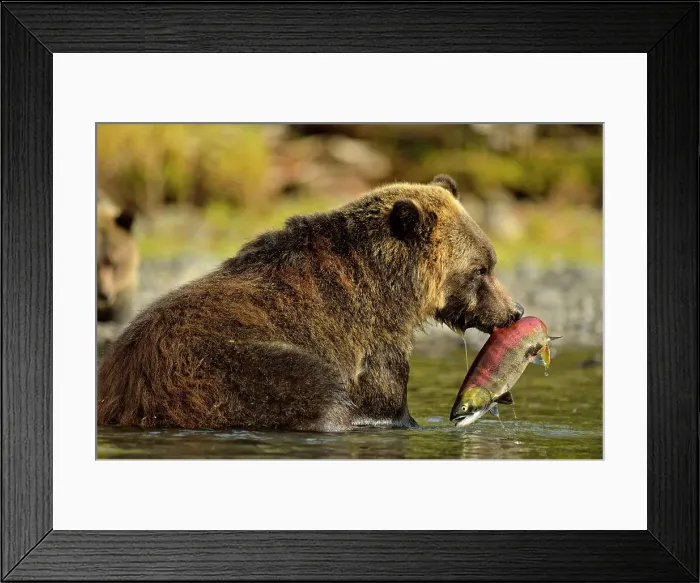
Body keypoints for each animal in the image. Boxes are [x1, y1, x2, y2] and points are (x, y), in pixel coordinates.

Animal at [97, 175, 523, 431]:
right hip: (219, 368)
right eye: (481, 269)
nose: (514, 310)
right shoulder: (370, 339)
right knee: (314, 389)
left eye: (491, 261)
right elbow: (387, 400)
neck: (392, 288)